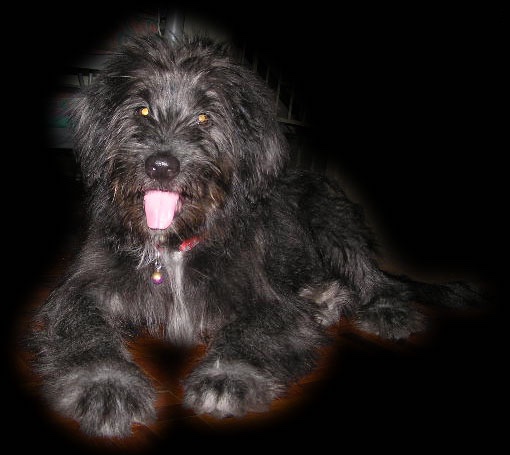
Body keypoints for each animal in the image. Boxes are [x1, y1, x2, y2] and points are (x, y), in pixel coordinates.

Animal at [30, 33, 482, 440]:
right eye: (141, 108)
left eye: (205, 117)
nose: (161, 165)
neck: (174, 249)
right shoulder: (81, 291)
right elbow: (88, 334)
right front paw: (105, 385)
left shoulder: (268, 300)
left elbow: (250, 332)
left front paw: (228, 377)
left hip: (332, 224)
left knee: (377, 279)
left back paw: (384, 310)